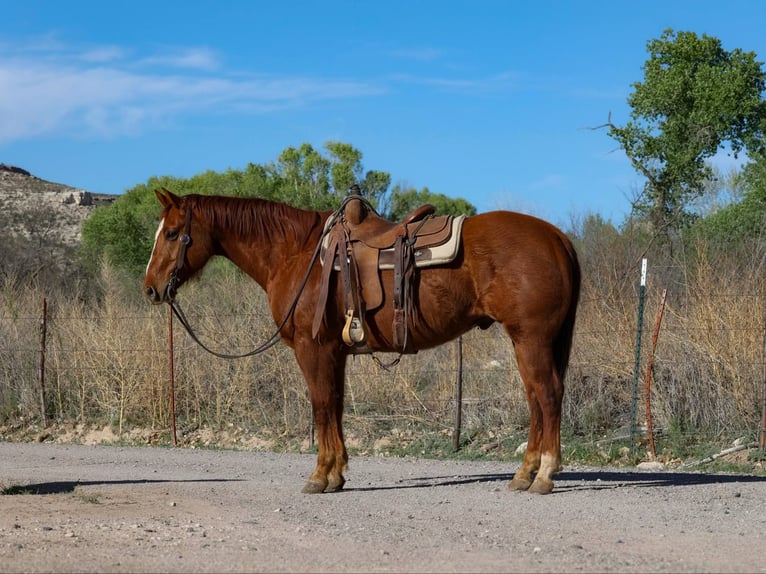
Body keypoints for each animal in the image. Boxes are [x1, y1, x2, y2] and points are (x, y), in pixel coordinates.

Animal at [143, 188, 581, 495]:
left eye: (171, 233)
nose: (150, 289)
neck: (296, 254)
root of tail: (556, 236)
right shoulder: (334, 352)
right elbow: (335, 406)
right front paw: (337, 473)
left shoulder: (313, 349)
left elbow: (321, 406)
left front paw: (320, 476)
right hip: (534, 342)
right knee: (537, 399)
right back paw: (524, 474)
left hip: (531, 339)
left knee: (546, 395)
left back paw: (544, 474)